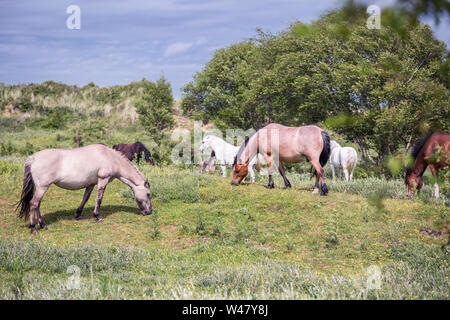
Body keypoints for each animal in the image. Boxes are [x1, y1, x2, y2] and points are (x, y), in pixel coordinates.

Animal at [16, 144, 153, 234]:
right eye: (148, 194)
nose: (149, 212)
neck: (110, 157)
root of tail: (33, 158)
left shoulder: (91, 184)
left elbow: (85, 198)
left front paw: (78, 215)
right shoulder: (102, 180)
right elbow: (99, 199)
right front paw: (97, 217)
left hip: (42, 188)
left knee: (37, 204)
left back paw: (43, 225)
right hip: (42, 187)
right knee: (34, 203)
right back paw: (33, 228)